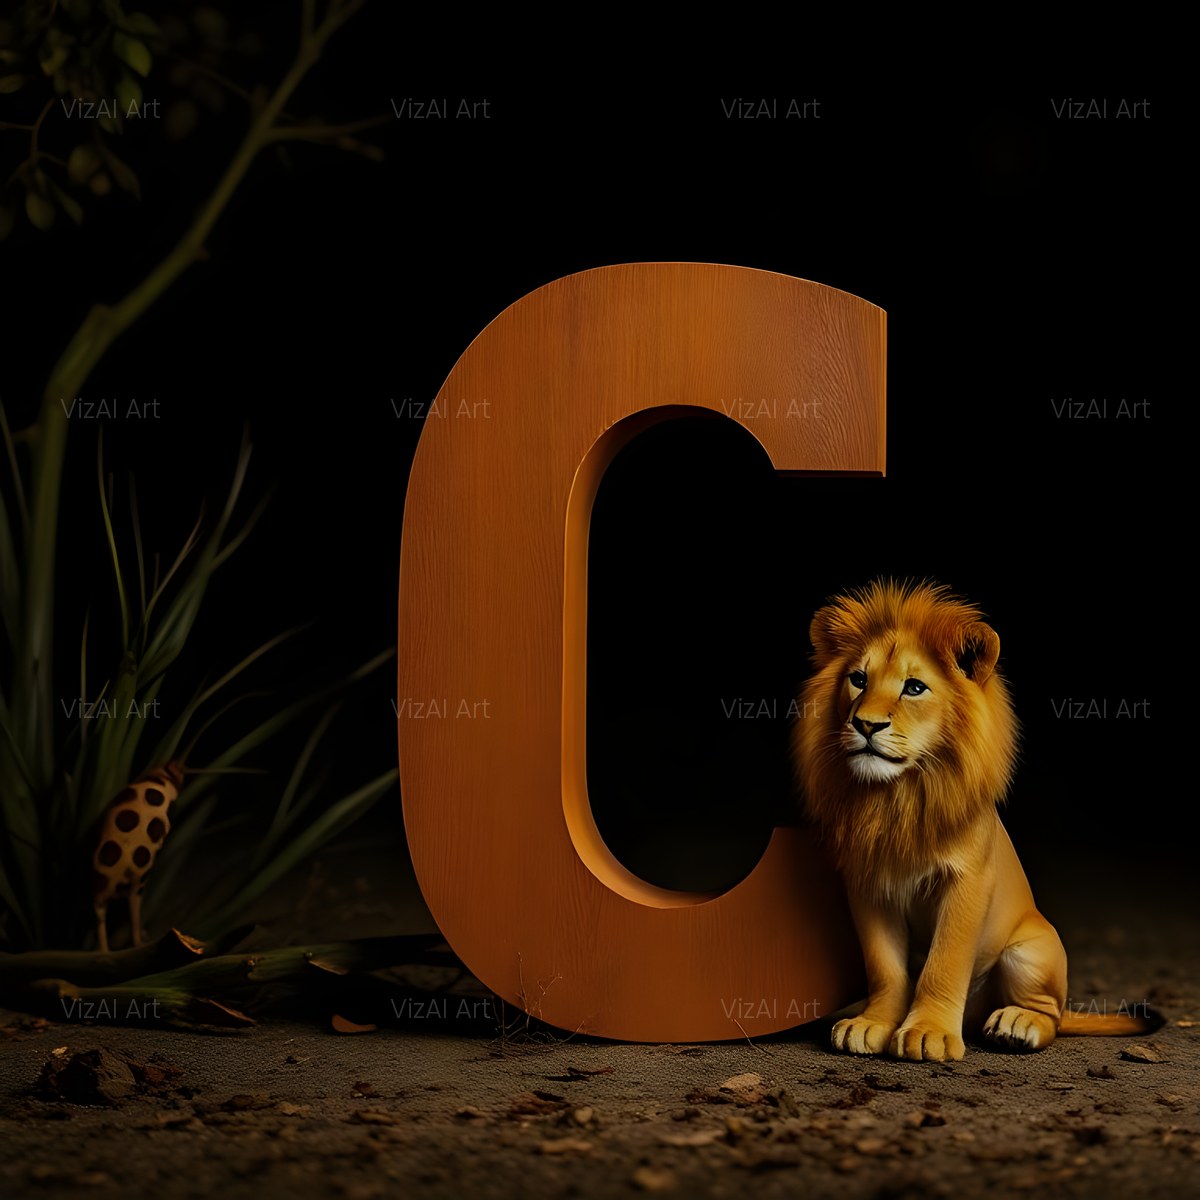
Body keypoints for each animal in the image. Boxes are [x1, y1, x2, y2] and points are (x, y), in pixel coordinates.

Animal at [792, 579, 1154, 1061]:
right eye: (858, 679)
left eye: (914, 687)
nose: (865, 724)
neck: (899, 795)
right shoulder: (868, 886)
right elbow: (884, 967)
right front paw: (873, 1024)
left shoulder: (967, 881)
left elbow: (944, 963)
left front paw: (927, 1032)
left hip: (1031, 951)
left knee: (1051, 1016)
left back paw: (1015, 1024)